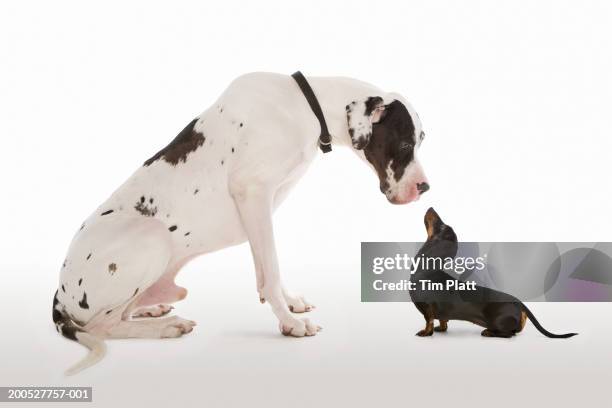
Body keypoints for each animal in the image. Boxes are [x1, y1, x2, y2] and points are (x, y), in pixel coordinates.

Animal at [53, 71, 430, 372]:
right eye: (405, 144)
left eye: (420, 142)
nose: (425, 187)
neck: (303, 107)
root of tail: (59, 292)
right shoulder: (254, 193)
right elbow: (271, 268)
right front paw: (290, 322)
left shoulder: (259, 207)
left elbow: (266, 269)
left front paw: (289, 303)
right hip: (152, 236)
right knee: (101, 326)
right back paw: (166, 327)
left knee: (120, 314)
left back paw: (153, 309)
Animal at [408, 209, 576, 340]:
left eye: (441, 225)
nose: (431, 207)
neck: (426, 270)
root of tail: (518, 303)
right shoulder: (442, 313)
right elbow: (443, 321)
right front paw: (440, 329)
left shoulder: (427, 308)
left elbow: (429, 321)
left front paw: (425, 332)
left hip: (498, 321)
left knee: (509, 334)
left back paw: (488, 332)